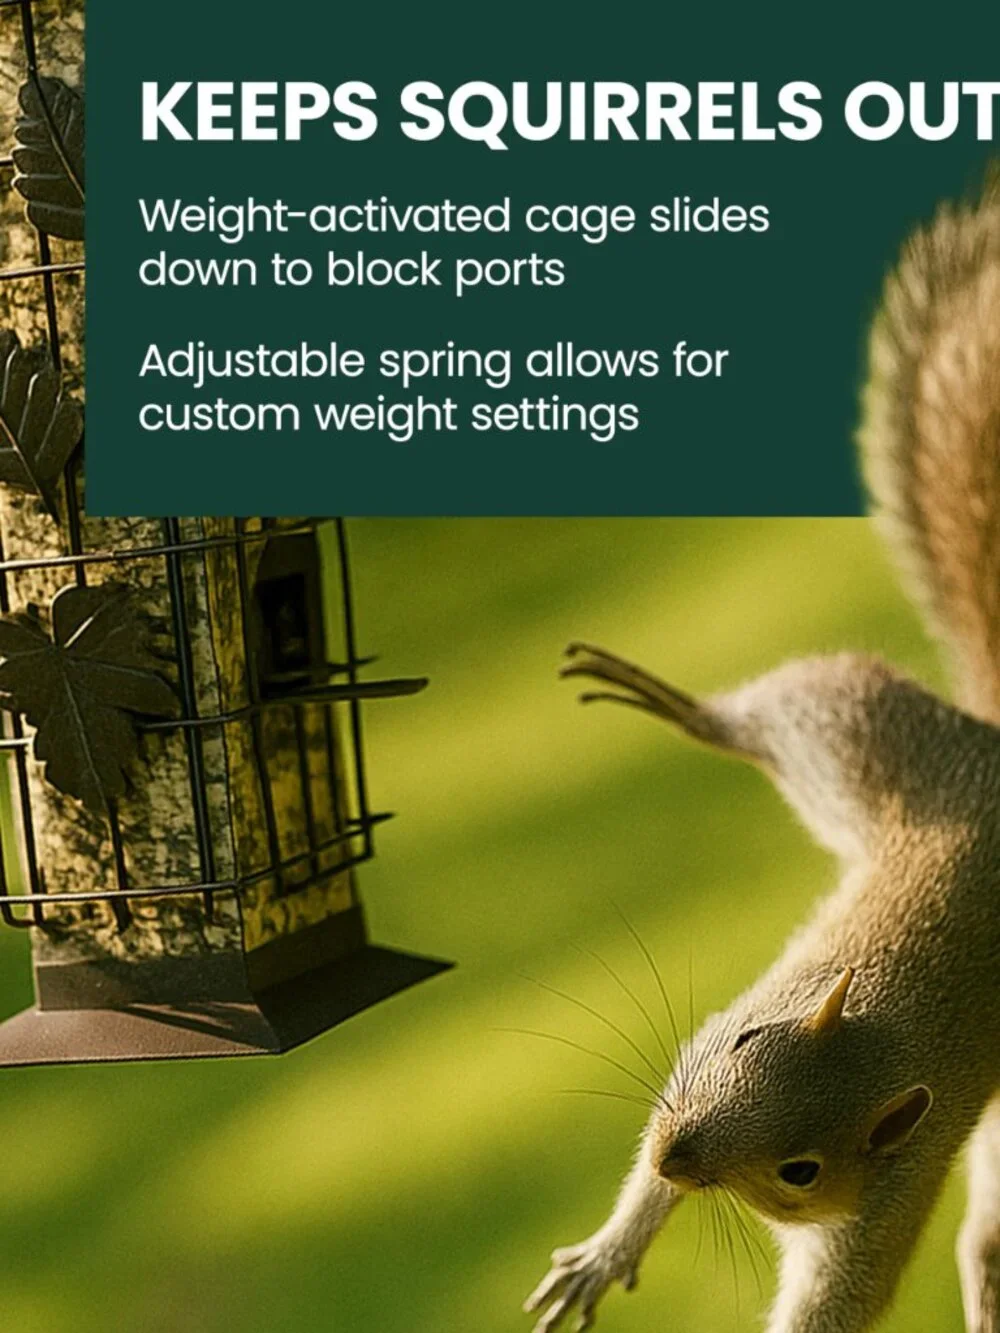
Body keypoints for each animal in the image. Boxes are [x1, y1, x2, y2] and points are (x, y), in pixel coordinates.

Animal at [523, 170, 1000, 1333]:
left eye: (802, 1170)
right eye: (747, 1045)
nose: (682, 1153)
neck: (887, 1024)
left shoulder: (887, 1197)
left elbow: (832, 1297)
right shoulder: (698, 1052)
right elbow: (652, 1132)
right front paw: (607, 1248)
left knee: (987, 1219)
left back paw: (983, 1277)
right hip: (862, 737)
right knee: (758, 717)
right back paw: (676, 702)